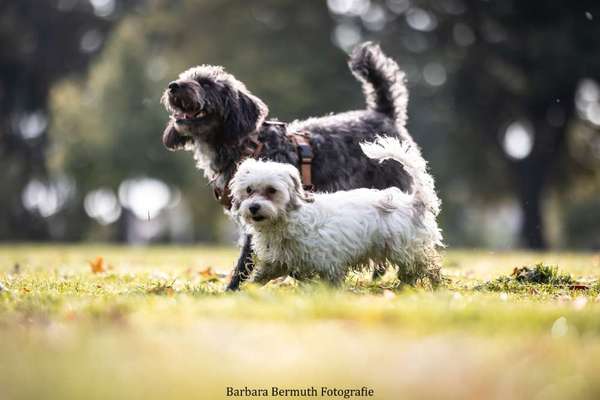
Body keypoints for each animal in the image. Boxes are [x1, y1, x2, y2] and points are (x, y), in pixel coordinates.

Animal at [232, 136, 442, 286]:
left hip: (407, 250)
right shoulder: (278, 261)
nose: (253, 207)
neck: (286, 218)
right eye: (249, 190)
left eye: (271, 190)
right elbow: (260, 277)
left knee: (428, 269)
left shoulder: (329, 262)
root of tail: (414, 201)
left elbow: (330, 281)